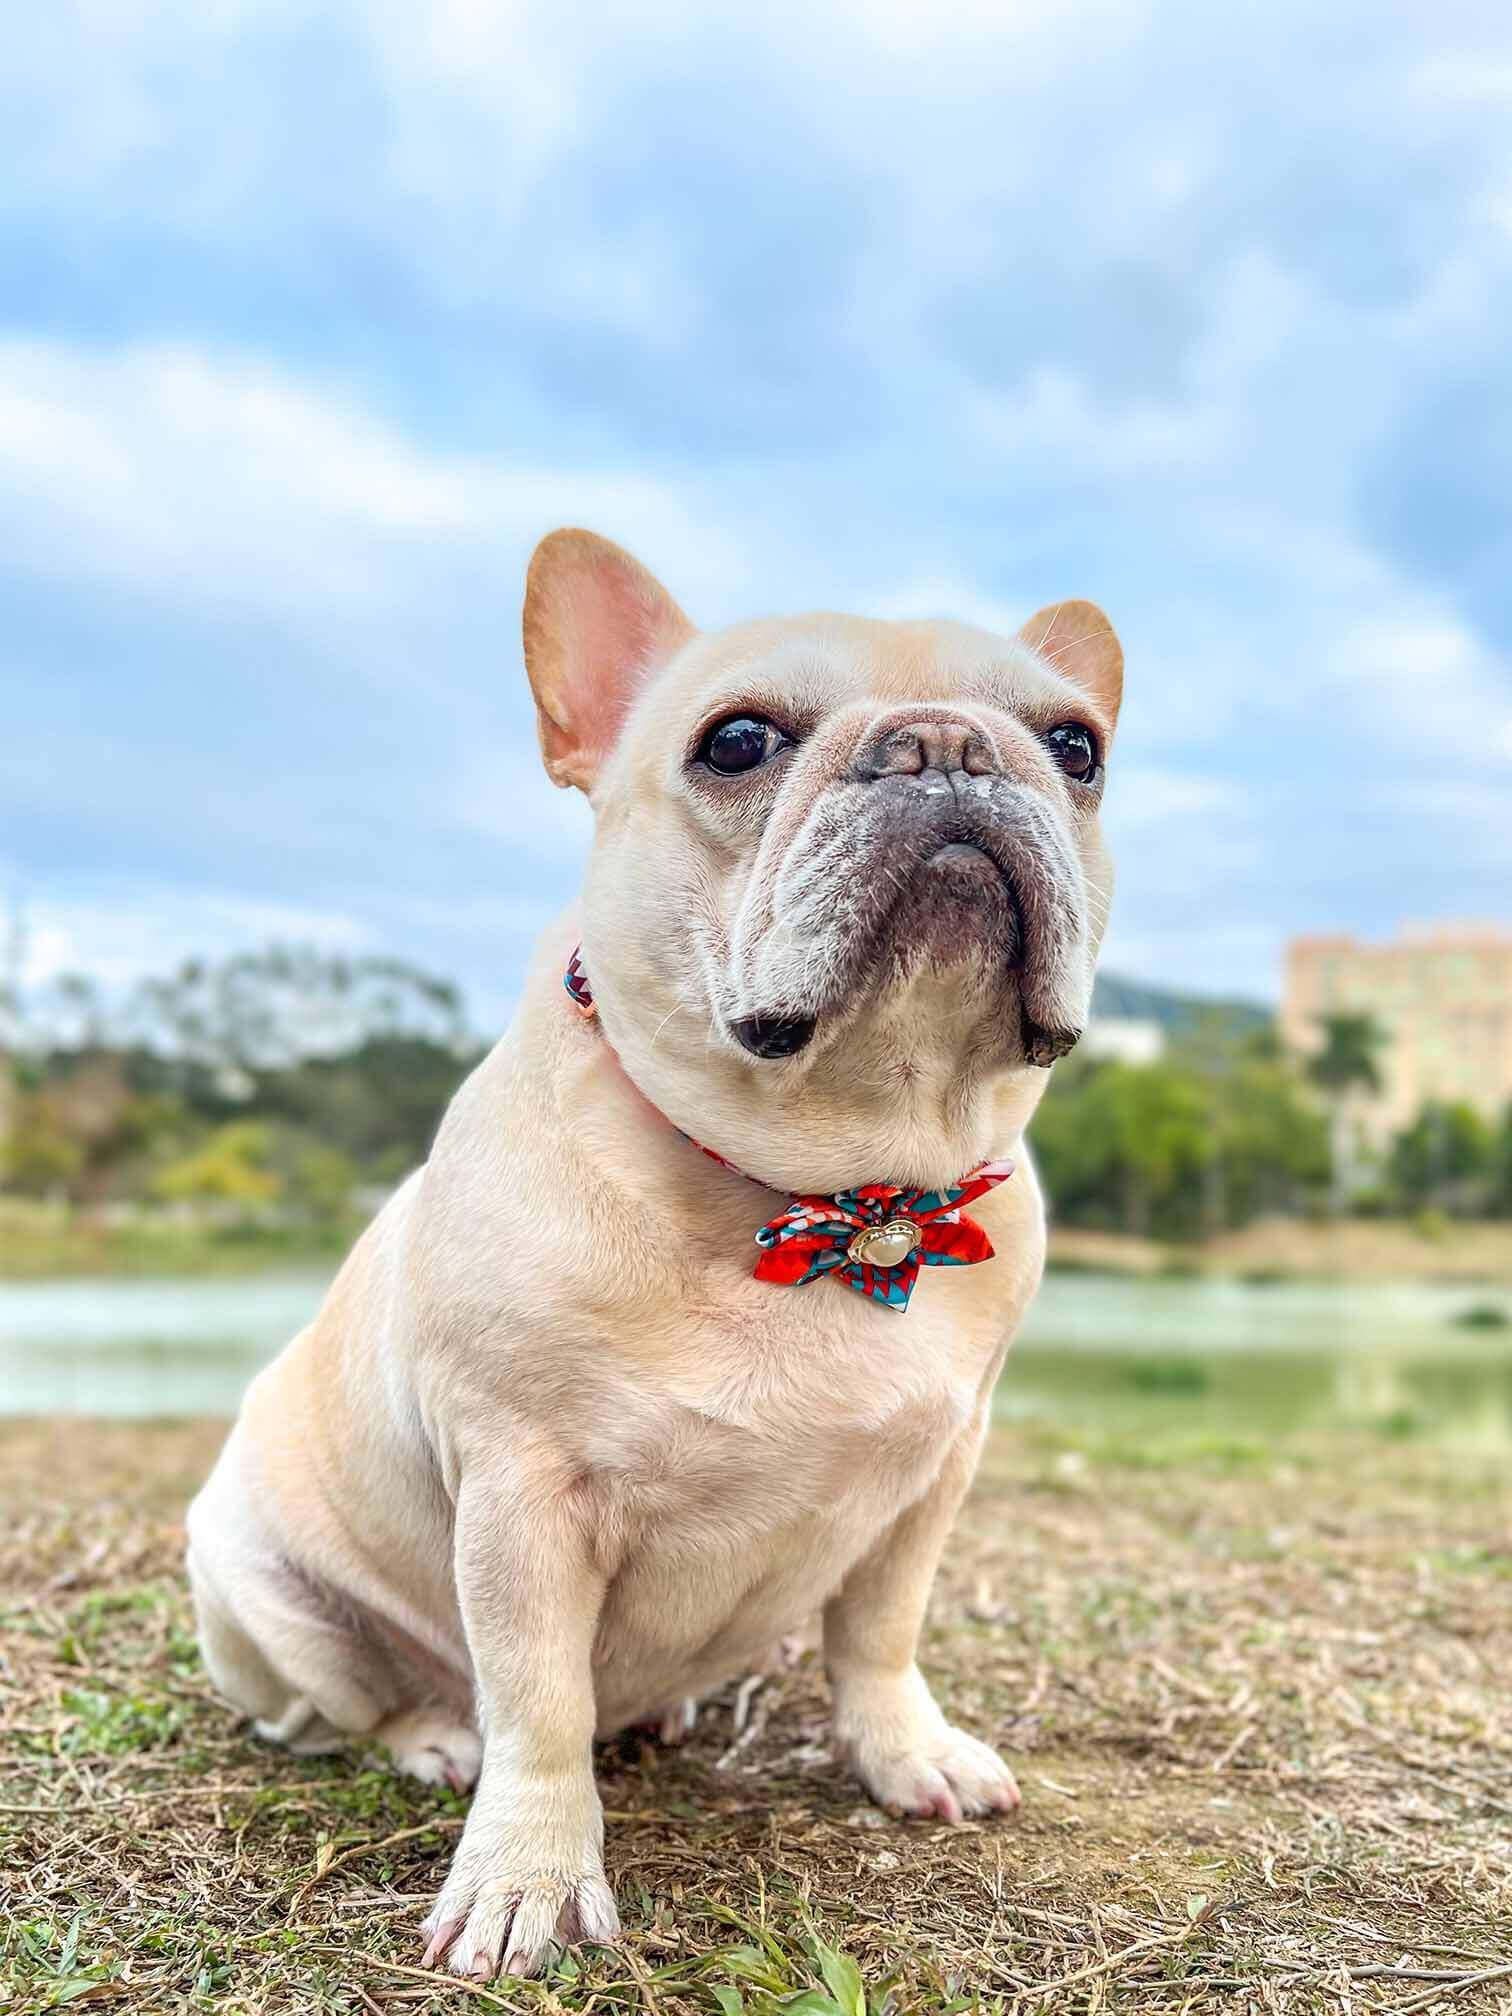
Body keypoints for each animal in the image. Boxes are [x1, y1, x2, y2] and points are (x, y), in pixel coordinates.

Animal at [186, 528, 1128, 1975]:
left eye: (1077, 747)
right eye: (736, 741)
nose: (946, 746)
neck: (835, 1187)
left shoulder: (934, 1474)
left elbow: (879, 1631)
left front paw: (902, 1754)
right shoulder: (521, 1493)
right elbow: (536, 1701)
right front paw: (526, 1875)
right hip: (265, 1598)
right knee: (353, 1706)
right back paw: (433, 1737)